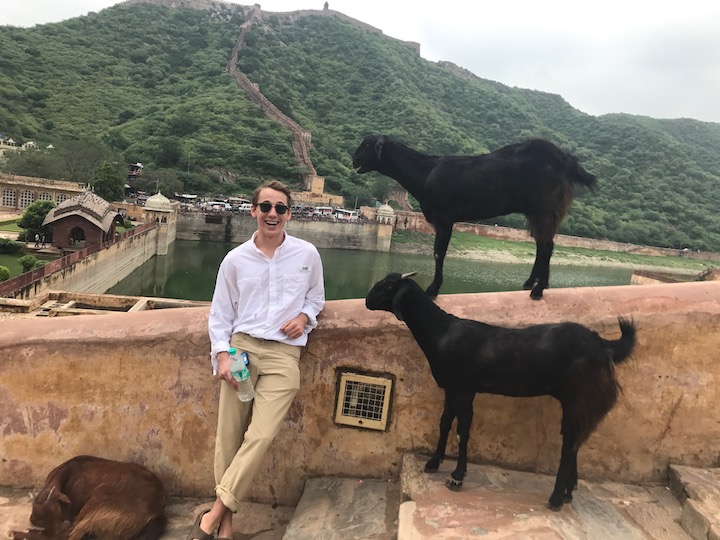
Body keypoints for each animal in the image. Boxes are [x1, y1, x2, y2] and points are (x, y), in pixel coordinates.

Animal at [13, 456, 166, 540]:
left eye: (57, 514)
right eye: (41, 521)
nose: (63, 525)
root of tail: (156, 513)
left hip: (96, 502)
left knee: (67, 536)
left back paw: (16, 533)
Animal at [354, 135, 596, 300]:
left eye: (367, 145)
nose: (354, 159)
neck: (426, 172)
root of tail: (565, 159)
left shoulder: (445, 217)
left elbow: (438, 252)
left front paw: (433, 289)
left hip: (545, 205)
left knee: (547, 246)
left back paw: (538, 289)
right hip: (535, 211)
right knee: (541, 243)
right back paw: (529, 283)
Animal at [366, 274, 636, 510]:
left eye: (389, 286)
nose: (367, 300)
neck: (441, 331)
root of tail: (603, 346)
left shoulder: (464, 389)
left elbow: (462, 432)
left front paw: (457, 476)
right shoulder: (451, 388)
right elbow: (444, 423)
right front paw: (433, 462)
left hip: (578, 396)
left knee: (569, 443)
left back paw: (557, 497)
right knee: (576, 439)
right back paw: (569, 491)